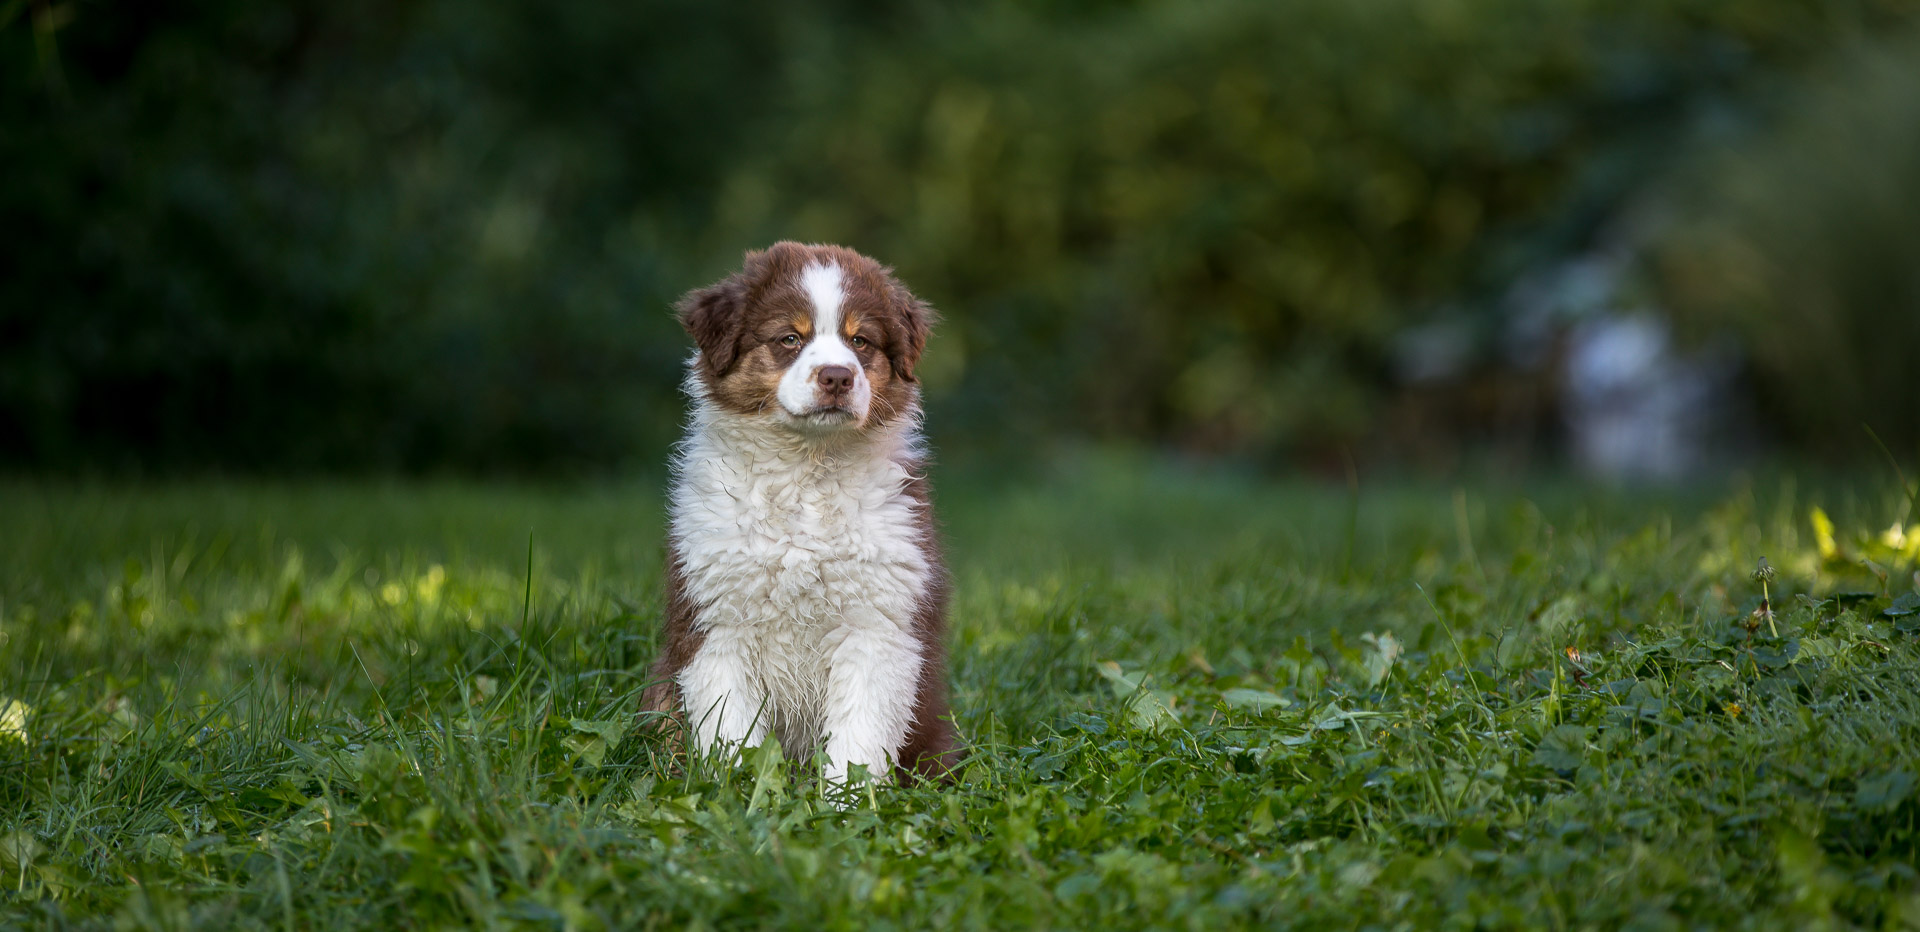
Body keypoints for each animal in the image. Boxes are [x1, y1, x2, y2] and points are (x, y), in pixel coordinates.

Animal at [641, 241, 960, 784]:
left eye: (861, 341)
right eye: (790, 337)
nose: (837, 375)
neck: (806, 470)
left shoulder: (877, 624)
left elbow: (858, 737)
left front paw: (848, 801)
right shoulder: (718, 622)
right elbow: (730, 730)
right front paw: (737, 790)